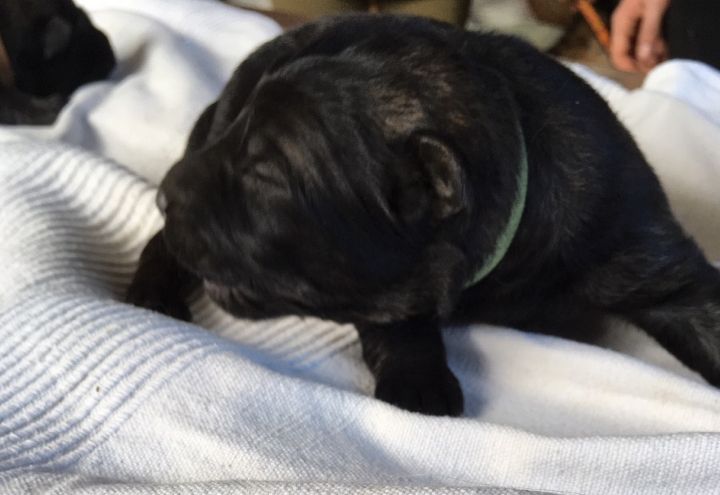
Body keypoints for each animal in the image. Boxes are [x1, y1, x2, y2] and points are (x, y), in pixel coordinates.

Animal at [127, 14, 720, 417]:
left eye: (267, 173)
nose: (165, 195)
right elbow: (397, 321)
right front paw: (420, 383)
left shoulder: (641, 245)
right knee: (160, 245)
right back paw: (152, 294)